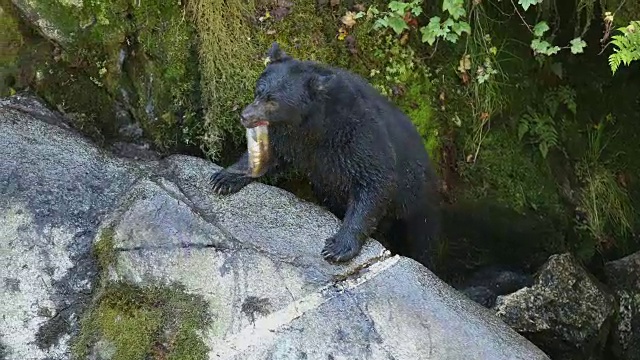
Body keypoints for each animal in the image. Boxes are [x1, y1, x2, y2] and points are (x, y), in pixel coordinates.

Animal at [210, 42, 440, 268]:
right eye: (258, 90)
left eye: (273, 101)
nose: (245, 116)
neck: (314, 126)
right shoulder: (291, 138)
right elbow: (273, 154)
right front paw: (224, 178)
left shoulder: (359, 133)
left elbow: (375, 181)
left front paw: (339, 247)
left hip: (417, 211)